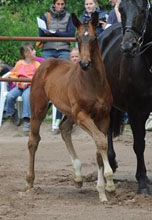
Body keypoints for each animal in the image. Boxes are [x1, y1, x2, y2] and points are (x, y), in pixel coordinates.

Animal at [25, 12, 115, 203]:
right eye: (77, 38)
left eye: (94, 38)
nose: (85, 64)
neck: (93, 83)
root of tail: (46, 63)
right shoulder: (82, 114)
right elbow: (100, 141)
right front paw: (109, 184)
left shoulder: (104, 117)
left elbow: (99, 148)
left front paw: (103, 191)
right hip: (39, 109)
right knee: (33, 140)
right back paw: (29, 182)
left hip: (69, 112)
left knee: (64, 128)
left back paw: (78, 176)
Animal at [99, 0, 152, 193]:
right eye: (121, 9)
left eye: (143, 10)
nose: (128, 47)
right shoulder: (136, 112)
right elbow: (139, 145)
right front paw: (142, 182)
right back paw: (110, 163)